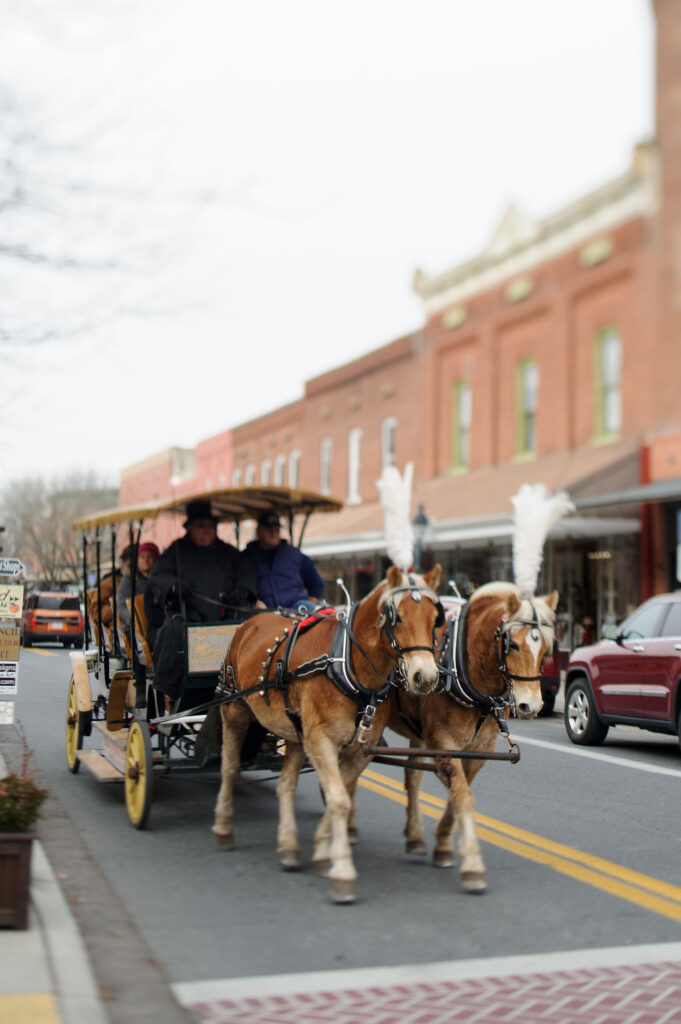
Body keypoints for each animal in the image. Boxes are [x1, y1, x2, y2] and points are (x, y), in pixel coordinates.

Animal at [215, 565, 444, 901]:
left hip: (296, 735)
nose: (425, 677)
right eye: (398, 617)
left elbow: (342, 794)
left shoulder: (359, 748)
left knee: (285, 785)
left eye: (435, 618)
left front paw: (324, 852)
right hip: (234, 711)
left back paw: (288, 846)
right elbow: (339, 800)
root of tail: (249, 622)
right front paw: (343, 871)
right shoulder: (321, 740)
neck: (349, 664)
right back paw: (223, 827)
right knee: (229, 769)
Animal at [385, 585, 557, 897]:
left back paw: (414, 836)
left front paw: (443, 846)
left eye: (546, 649)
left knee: (412, 776)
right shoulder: (445, 742)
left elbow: (458, 796)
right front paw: (473, 866)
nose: (531, 705)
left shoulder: (479, 751)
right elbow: (463, 797)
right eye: (512, 645)